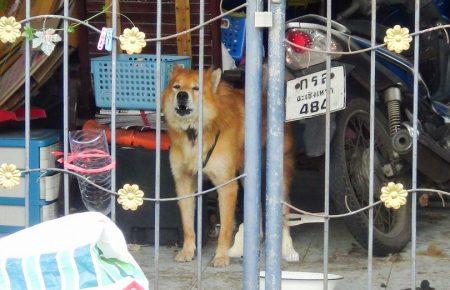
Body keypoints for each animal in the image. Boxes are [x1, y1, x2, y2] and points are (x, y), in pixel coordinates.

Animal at [163, 67, 298, 266]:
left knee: (285, 209)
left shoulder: (227, 185)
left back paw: (287, 248)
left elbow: (226, 227)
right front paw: (187, 251)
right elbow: (187, 225)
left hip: (279, 175)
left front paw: (221, 256)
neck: (195, 132)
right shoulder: (184, 183)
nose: (181, 95)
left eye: (196, 88)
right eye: (177, 87)